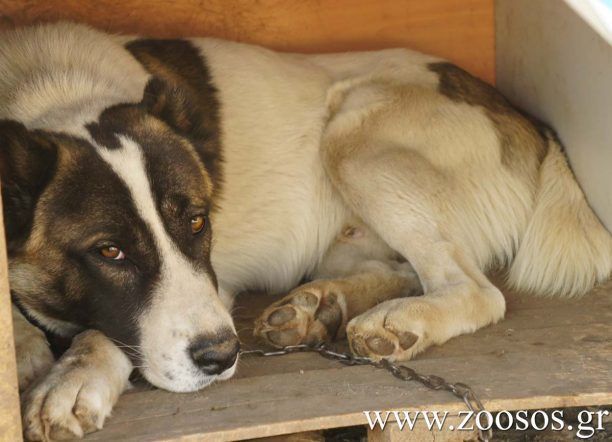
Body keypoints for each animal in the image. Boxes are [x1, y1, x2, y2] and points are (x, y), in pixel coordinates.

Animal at [1, 23, 612, 438]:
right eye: (109, 251)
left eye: (198, 222)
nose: (223, 357)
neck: (55, 92)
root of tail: (525, 119)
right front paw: (25, 344)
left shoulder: (210, 284)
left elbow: (106, 330)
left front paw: (73, 376)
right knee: (396, 269)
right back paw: (317, 308)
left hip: (354, 137)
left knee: (475, 289)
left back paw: (395, 323)